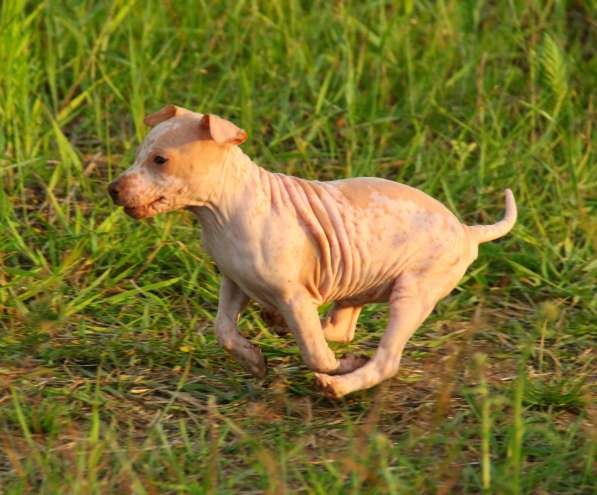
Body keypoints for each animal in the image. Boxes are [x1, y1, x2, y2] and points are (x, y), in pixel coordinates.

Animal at [105, 104, 516, 400]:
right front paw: (254, 361)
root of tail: (467, 231)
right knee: (340, 328)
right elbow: (223, 329)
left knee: (383, 359)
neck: (219, 211)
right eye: (140, 155)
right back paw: (284, 324)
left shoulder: (294, 296)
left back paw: (339, 383)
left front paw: (338, 368)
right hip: (359, 281)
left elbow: (316, 355)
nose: (112, 189)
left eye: (160, 160)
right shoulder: (234, 281)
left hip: (413, 291)